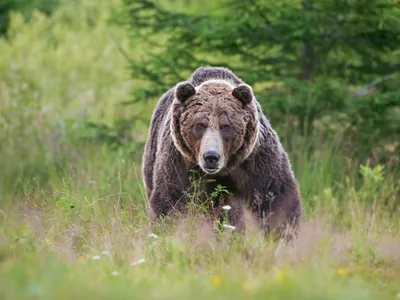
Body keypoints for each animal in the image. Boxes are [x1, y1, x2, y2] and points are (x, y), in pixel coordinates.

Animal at [142, 66, 302, 239]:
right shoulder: (179, 162)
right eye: (199, 125)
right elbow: (171, 199)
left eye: (226, 126)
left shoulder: (256, 159)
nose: (211, 157)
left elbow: (276, 197)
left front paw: (283, 236)